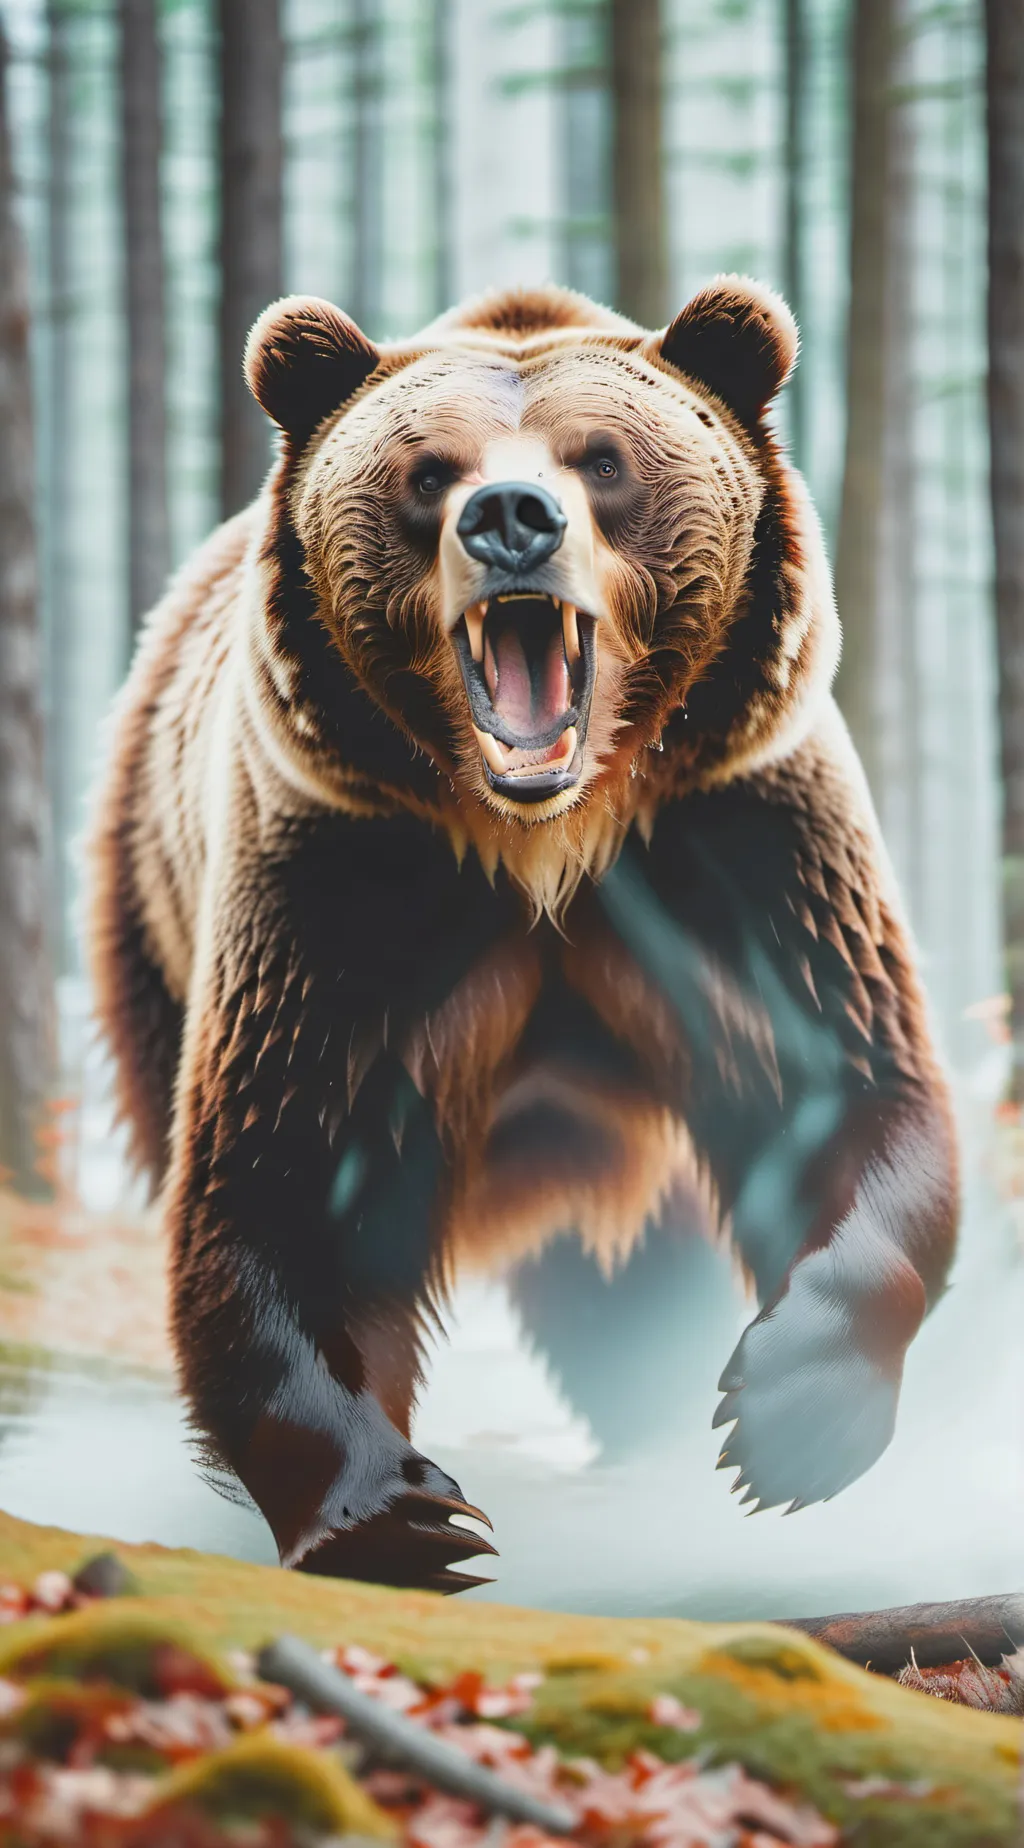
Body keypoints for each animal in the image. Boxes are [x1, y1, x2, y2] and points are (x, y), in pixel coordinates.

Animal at [85, 277, 958, 1591]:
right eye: (425, 472)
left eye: (601, 458)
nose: (509, 518)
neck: (544, 840)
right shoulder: (340, 882)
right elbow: (286, 1175)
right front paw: (400, 1516)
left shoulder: (739, 843)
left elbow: (849, 1081)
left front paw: (785, 1420)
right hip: (150, 914)